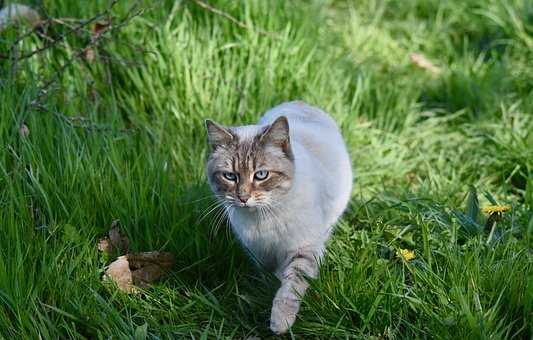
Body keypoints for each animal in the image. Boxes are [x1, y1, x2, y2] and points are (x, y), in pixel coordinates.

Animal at [206, 99, 352, 334]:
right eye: (230, 176)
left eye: (261, 175)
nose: (243, 198)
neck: (262, 218)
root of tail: (301, 102)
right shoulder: (258, 252)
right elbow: (268, 275)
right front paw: (266, 289)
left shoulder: (303, 248)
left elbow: (290, 287)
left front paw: (280, 323)